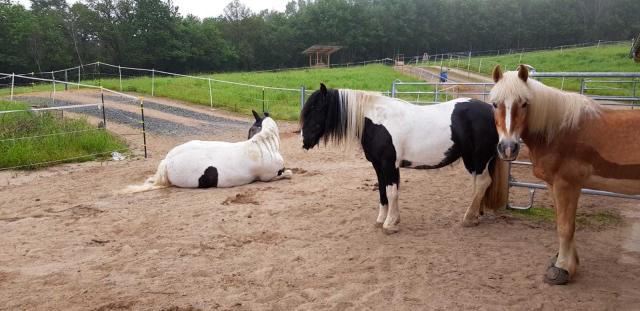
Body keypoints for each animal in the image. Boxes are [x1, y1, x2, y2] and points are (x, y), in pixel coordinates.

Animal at [302, 84, 510, 234]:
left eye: (316, 109)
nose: (304, 141)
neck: (378, 121)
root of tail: (491, 112)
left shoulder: (389, 164)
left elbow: (392, 191)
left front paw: (390, 224)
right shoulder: (378, 165)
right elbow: (382, 192)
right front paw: (382, 220)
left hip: (478, 159)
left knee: (482, 183)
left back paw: (468, 218)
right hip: (476, 161)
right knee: (480, 185)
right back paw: (476, 216)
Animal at [490, 65, 640, 286]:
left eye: (524, 103)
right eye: (495, 104)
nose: (508, 148)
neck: (560, 131)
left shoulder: (567, 184)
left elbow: (565, 226)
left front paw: (562, 269)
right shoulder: (556, 185)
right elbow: (566, 223)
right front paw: (569, 263)